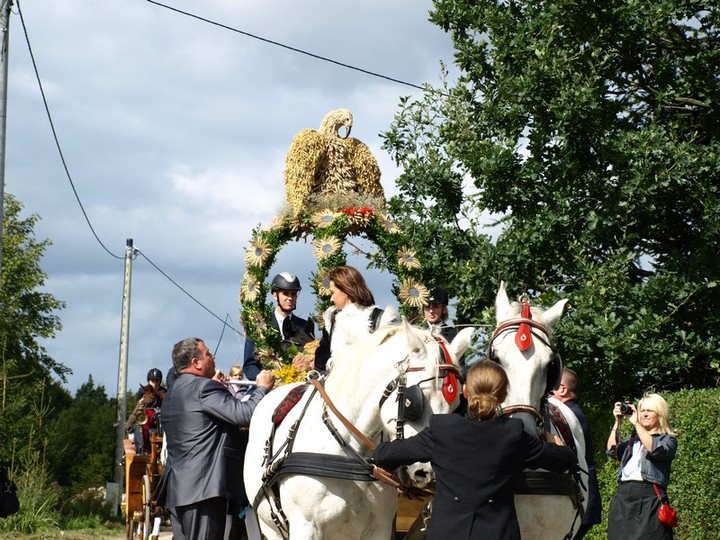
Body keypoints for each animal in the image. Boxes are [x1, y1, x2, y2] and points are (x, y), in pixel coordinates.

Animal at [245, 320, 476, 540]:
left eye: (457, 407)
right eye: (412, 402)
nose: (431, 474)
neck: (347, 453)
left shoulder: (379, 528)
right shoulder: (305, 527)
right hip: (271, 528)